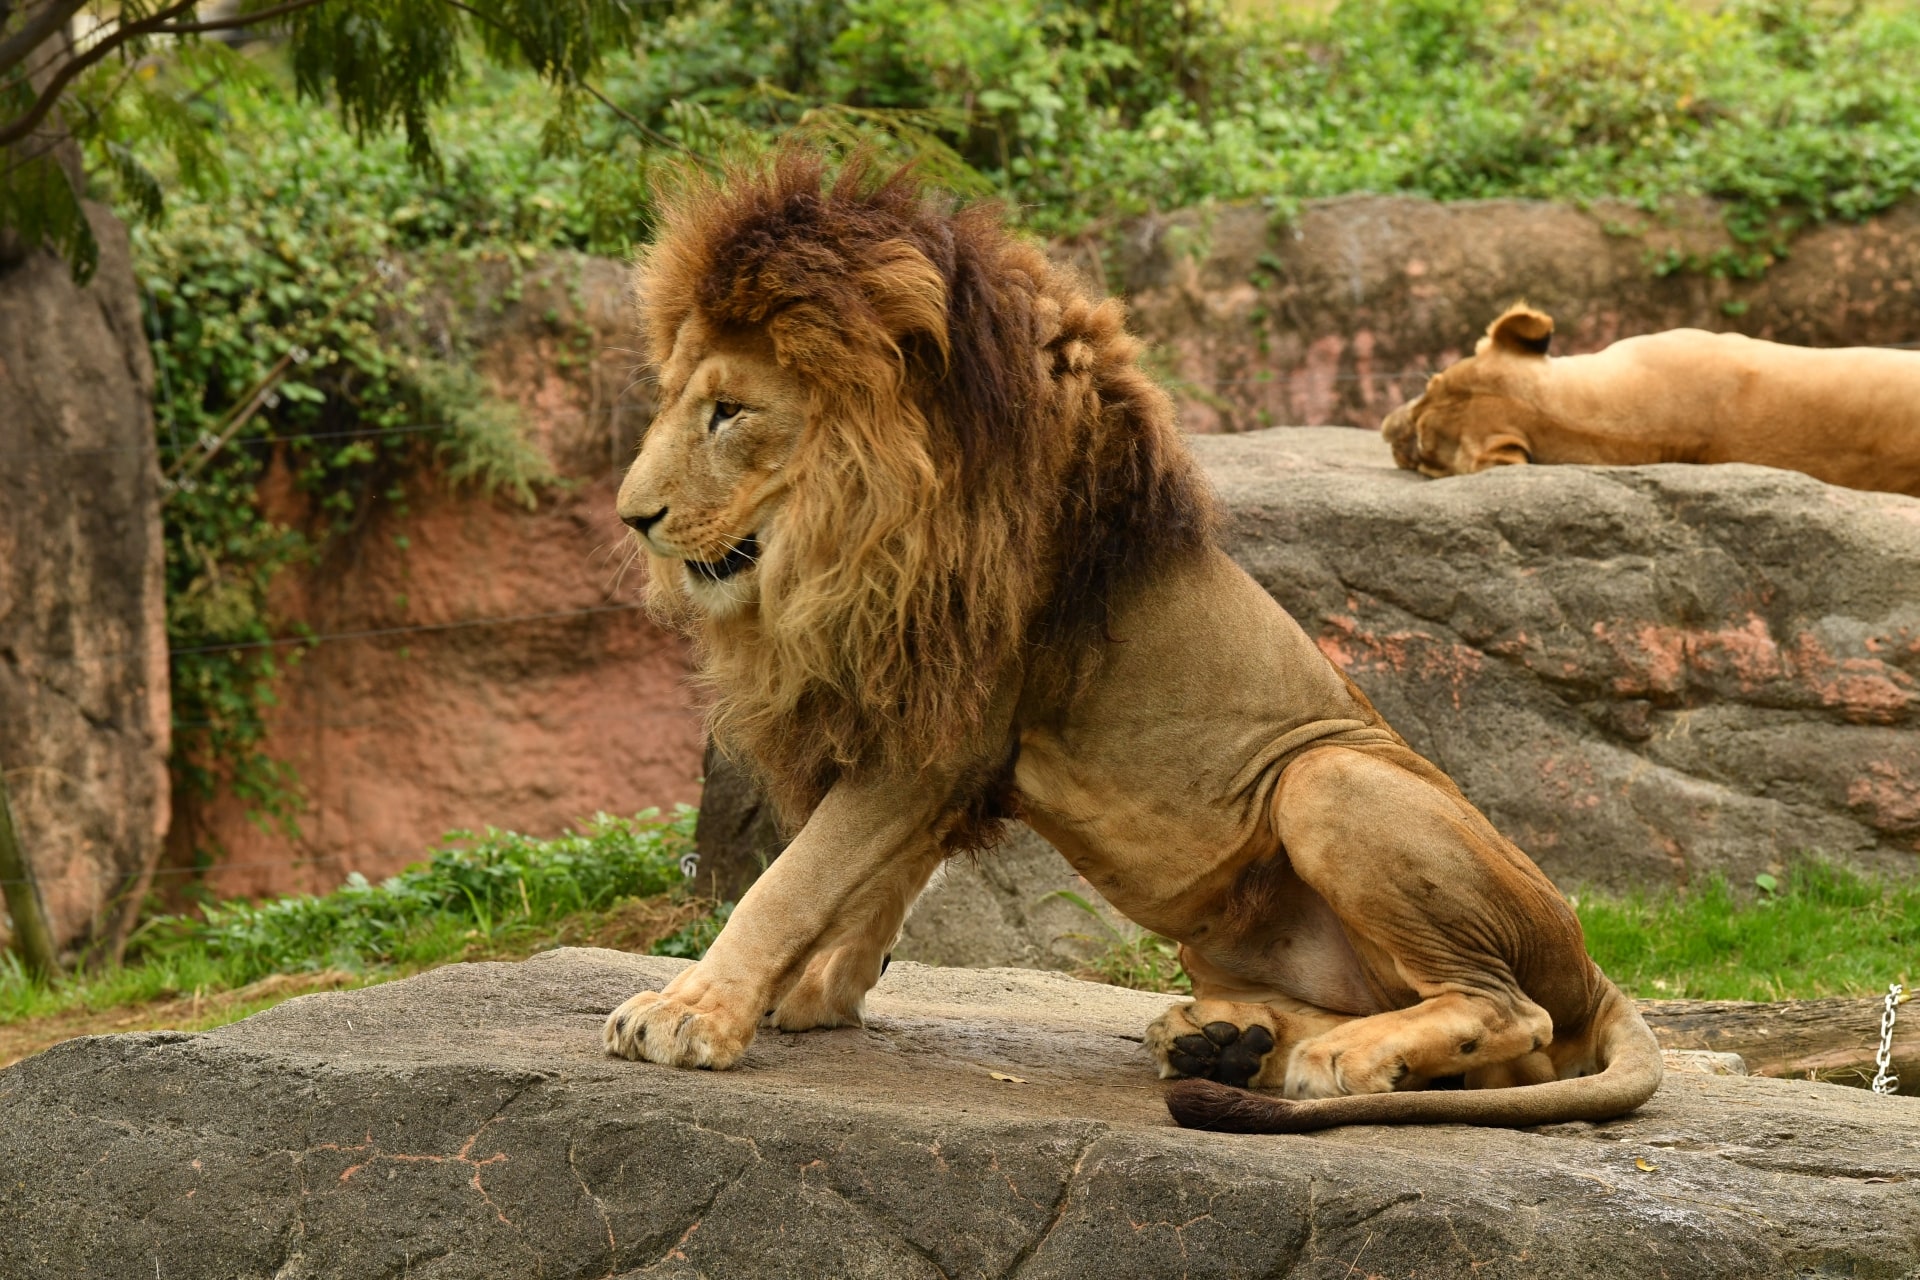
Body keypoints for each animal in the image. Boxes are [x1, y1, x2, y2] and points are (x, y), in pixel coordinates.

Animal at [606, 157, 1658, 1128]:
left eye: (730, 411)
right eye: (675, 400)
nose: (631, 518)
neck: (861, 526)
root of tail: (1599, 972)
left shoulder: (947, 728)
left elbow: (794, 878)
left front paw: (690, 1012)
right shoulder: (930, 731)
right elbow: (872, 879)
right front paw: (818, 989)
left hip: (1325, 774)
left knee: (1512, 1018)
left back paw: (1343, 1060)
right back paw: (1226, 1039)